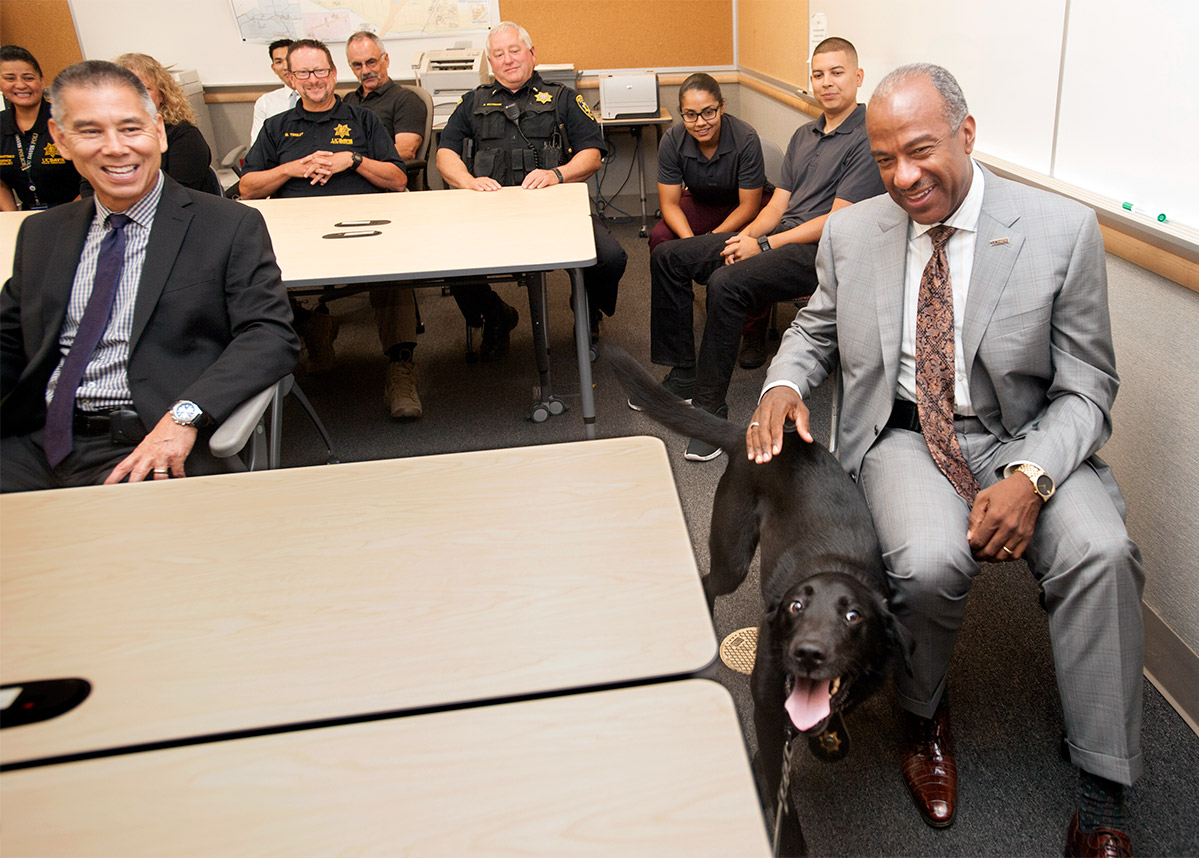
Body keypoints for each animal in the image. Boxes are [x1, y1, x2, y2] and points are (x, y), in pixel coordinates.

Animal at [613, 347, 911, 857]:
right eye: (795, 607)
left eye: (853, 615)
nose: (808, 653)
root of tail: (750, 434)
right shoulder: (768, 713)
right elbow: (783, 805)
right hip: (732, 555)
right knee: (709, 580)